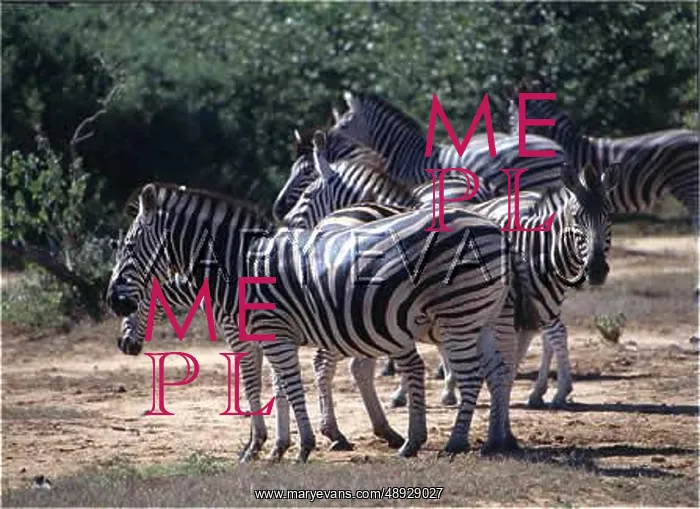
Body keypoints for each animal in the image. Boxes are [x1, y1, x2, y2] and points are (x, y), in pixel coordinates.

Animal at [106, 182, 529, 461]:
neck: (240, 266)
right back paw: (492, 440)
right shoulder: (269, 335)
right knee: (496, 371)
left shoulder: (267, 334)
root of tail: (492, 225)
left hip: (458, 313)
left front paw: (292, 446)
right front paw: (273, 447)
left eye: (128, 247)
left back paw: (454, 443)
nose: (113, 303)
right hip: (483, 315)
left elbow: (279, 387)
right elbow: (275, 387)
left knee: (471, 375)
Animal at [286, 131, 616, 408]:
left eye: (306, 190)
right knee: (550, 335)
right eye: (577, 218)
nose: (286, 220)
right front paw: (450, 387)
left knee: (554, 334)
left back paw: (552, 392)